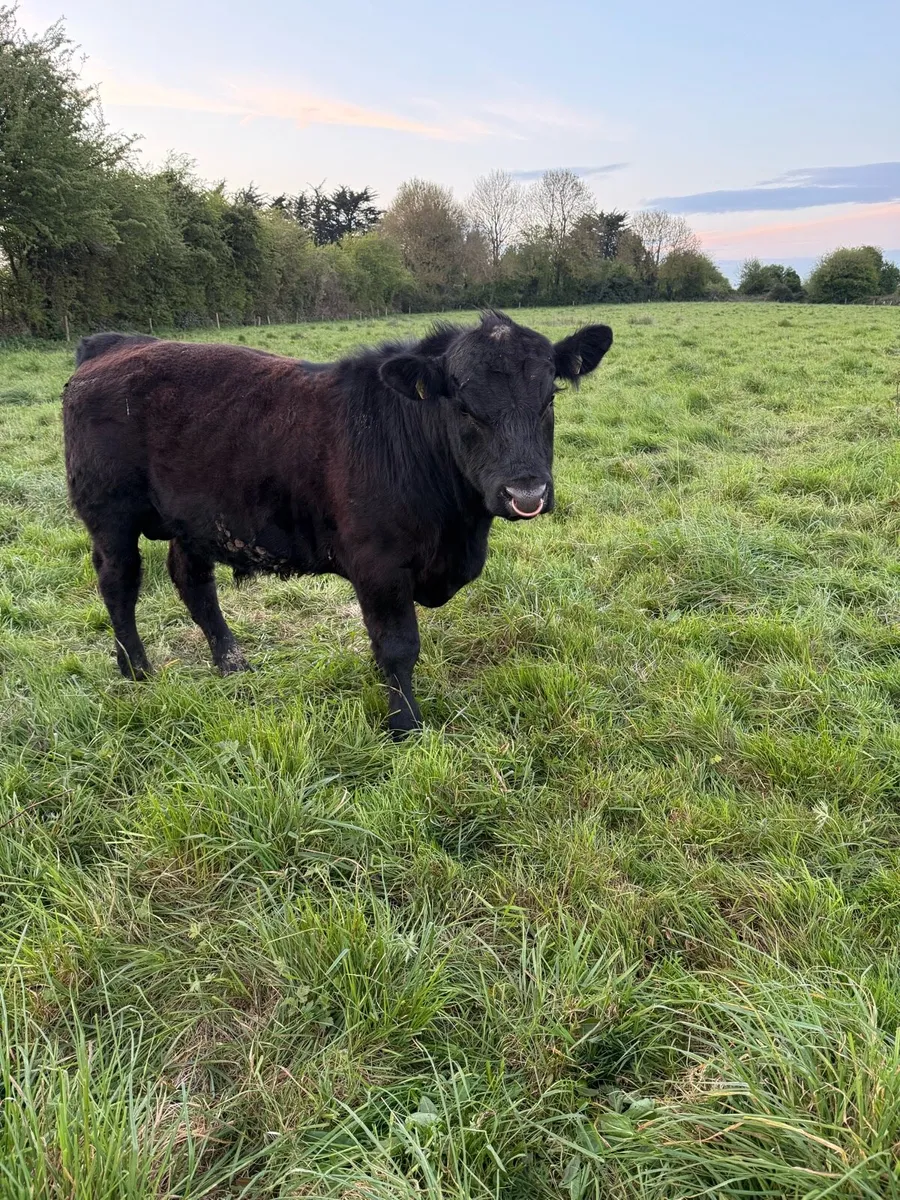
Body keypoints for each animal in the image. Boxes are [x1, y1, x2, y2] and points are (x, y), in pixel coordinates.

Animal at [62, 311, 613, 736]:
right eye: (463, 405)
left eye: (549, 398)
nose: (527, 493)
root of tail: (114, 345)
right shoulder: (378, 566)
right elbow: (397, 646)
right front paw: (405, 725)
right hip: (109, 515)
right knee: (119, 584)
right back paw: (136, 669)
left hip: (192, 520)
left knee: (193, 582)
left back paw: (232, 663)